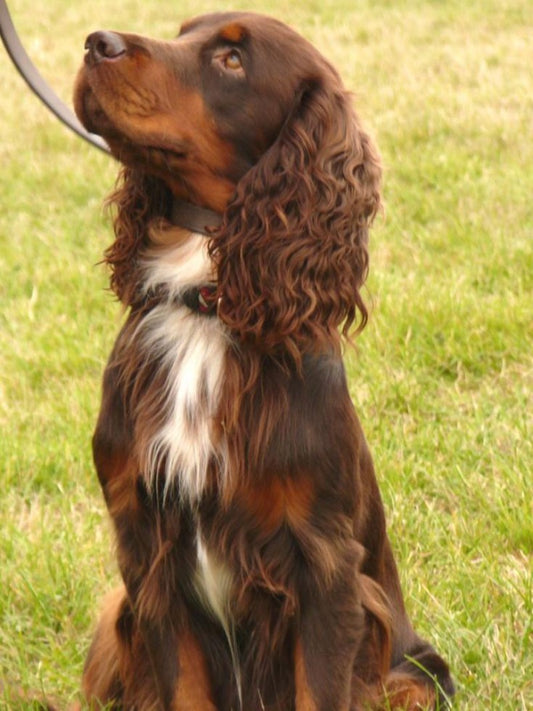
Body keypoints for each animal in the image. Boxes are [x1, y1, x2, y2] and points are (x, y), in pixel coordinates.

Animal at [72, 11, 454, 711]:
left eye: (232, 60)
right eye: (181, 33)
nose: (96, 42)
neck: (207, 302)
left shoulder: (324, 563)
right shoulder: (146, 549)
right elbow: (182, 685)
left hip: (410, 671)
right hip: (118, 617)